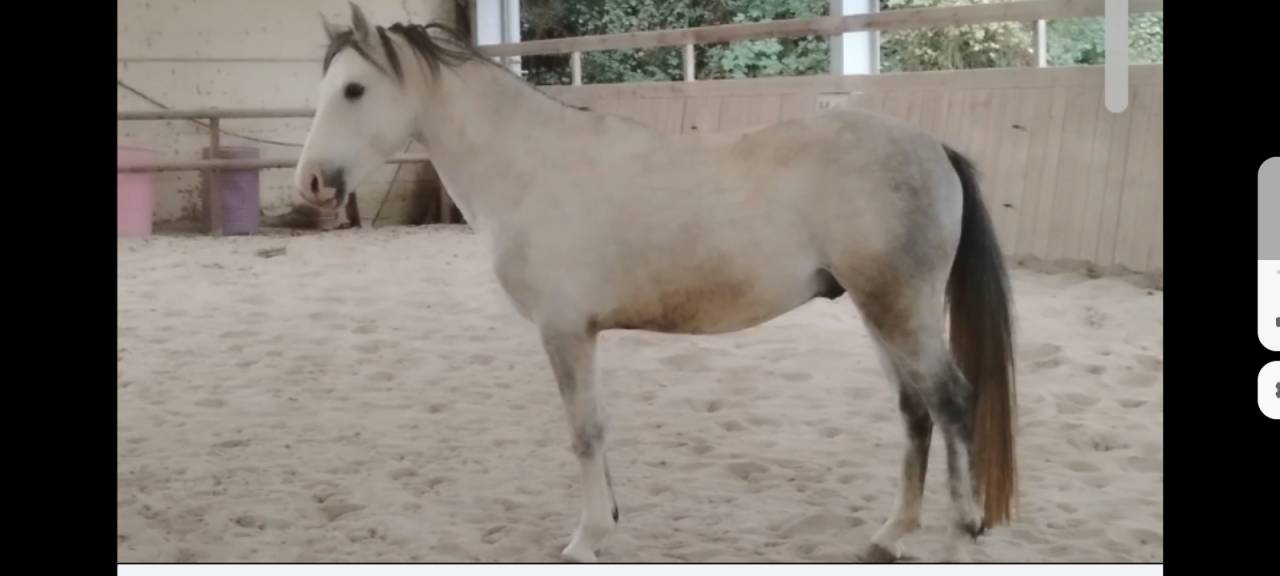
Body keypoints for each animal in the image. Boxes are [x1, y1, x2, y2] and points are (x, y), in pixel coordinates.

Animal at [294, 4, 1017, 563]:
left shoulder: (564, 332)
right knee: (915, 410)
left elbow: (585, 430)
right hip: (879, 313)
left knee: (952, 403)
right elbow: (597, 427)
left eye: (354, 90)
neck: (532, 166)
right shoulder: (580, 334)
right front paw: (606, 522)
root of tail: (932, 147)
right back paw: (890, 535)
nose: (311, 183)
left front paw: (585, 539)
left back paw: (959, 537)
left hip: (901, 311)